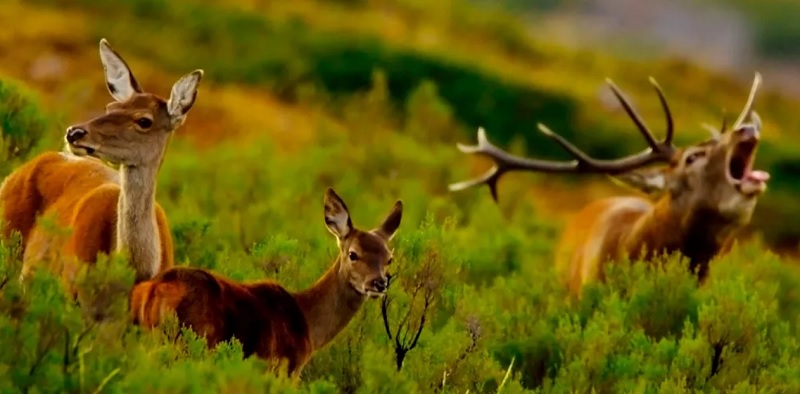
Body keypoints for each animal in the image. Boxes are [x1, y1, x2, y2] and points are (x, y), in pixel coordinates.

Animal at [133, 189, 406, 378]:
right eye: (353, 254)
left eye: (389, 258)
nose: (378, 283)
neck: (308, 324)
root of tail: (154, 290)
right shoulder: (287, 368)